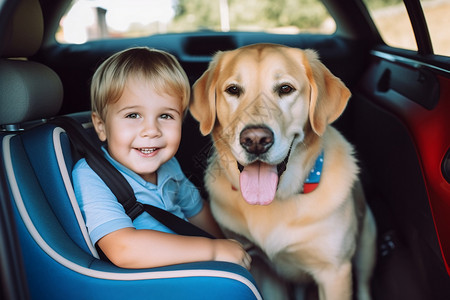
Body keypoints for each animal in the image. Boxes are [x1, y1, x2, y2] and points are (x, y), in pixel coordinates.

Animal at [190, 43, 376, 298]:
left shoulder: (334, 272)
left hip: (367, 242)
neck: (278, 198)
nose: (255, 140)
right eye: (233, 90)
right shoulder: (260, 265)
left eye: (285, 89)